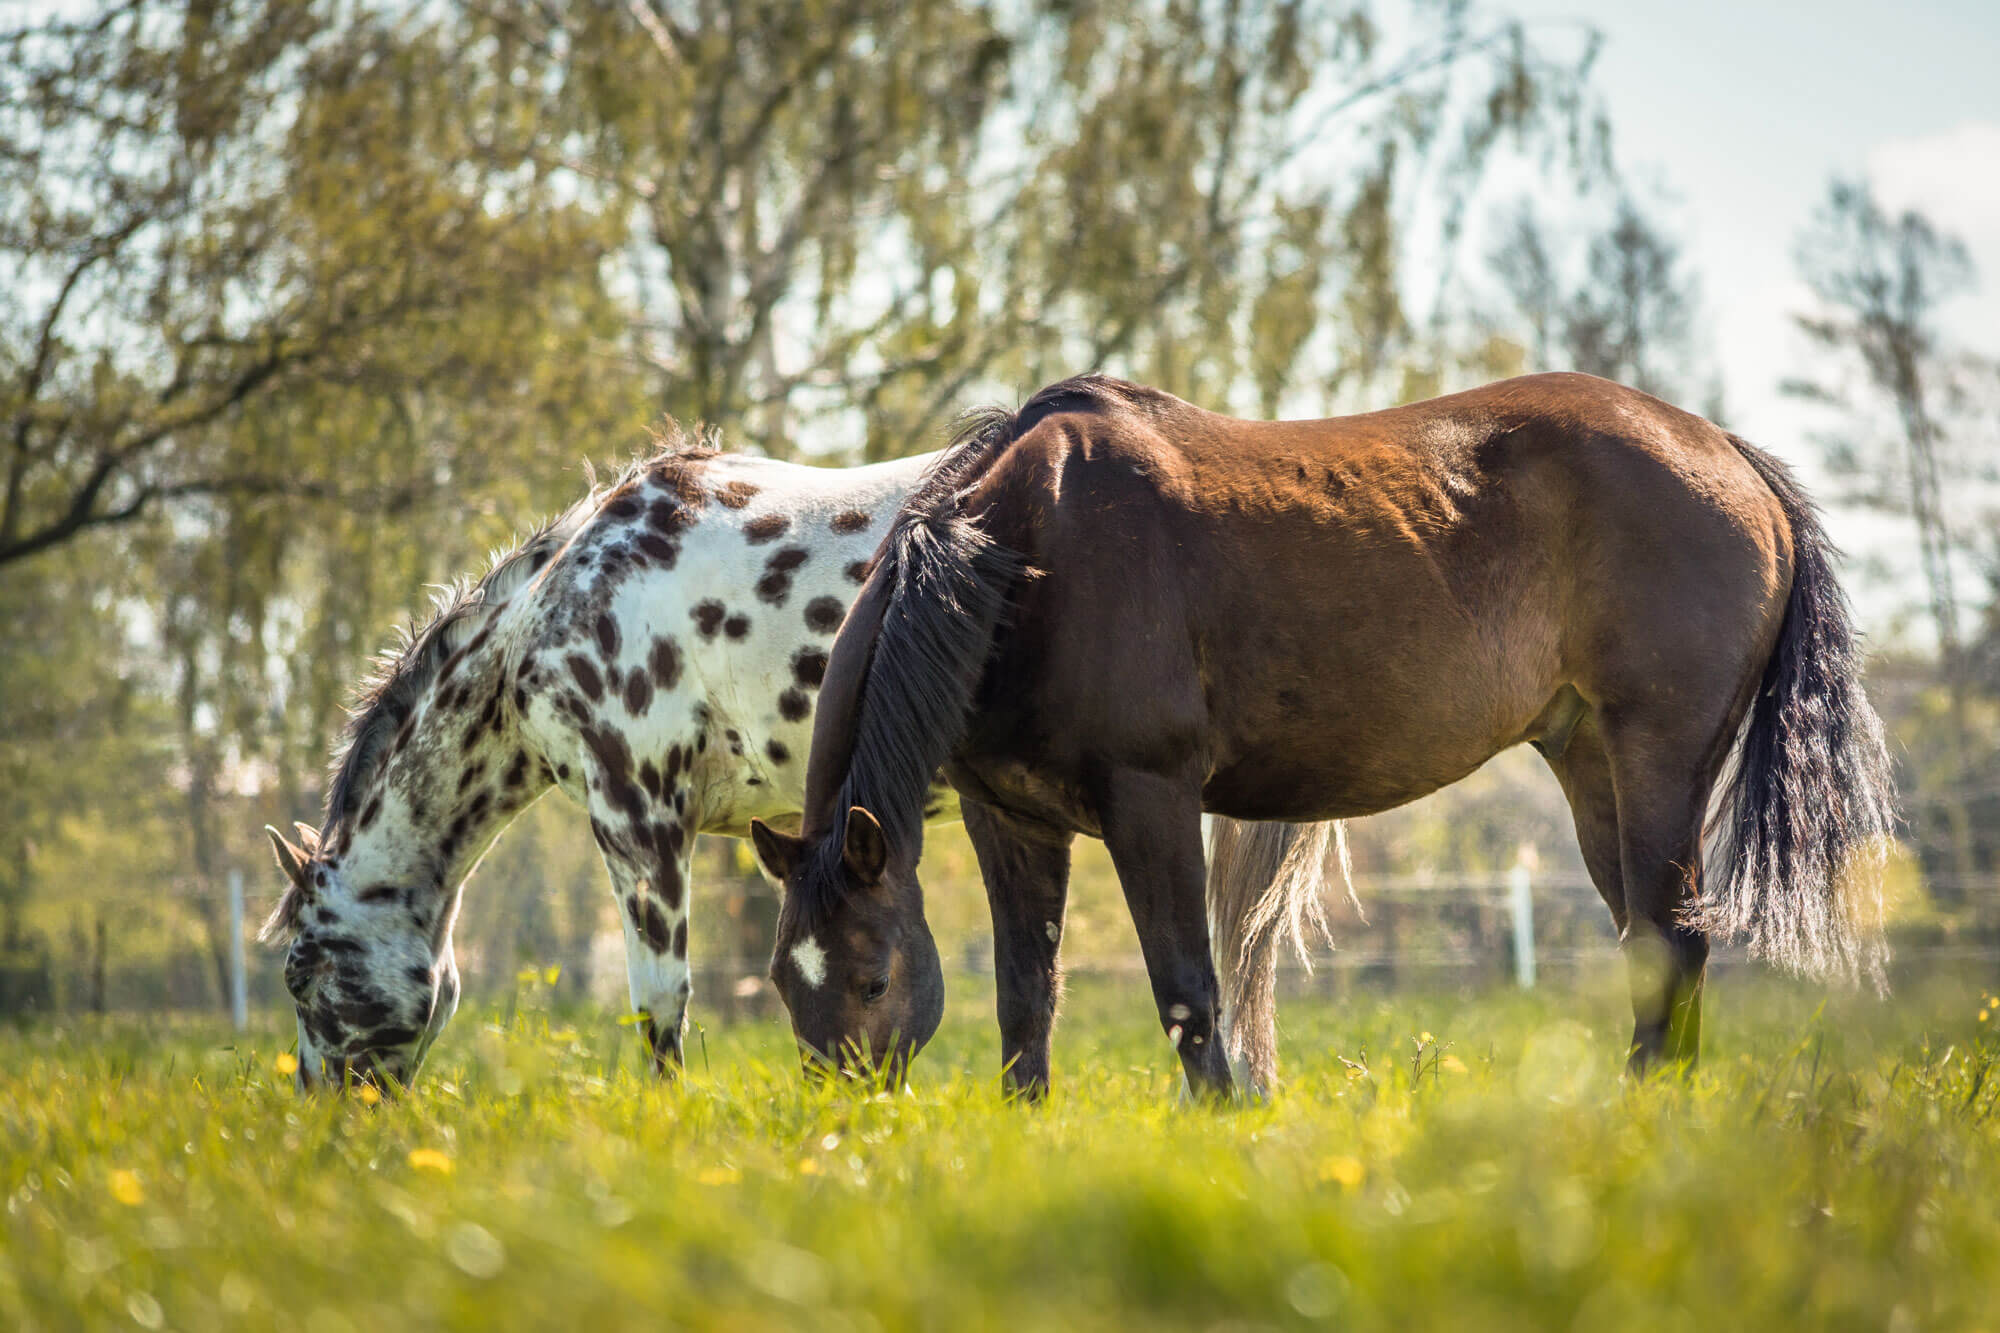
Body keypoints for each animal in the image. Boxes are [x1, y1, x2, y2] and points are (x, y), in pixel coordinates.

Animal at [756, 366, 1896, 1088]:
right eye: (781, 983)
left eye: (870, 976)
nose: (847, 1117)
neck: (1026, 554)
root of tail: (1727, 453)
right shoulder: (1013, 822)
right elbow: (1025, 997)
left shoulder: (1150, 799)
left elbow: (1187, 990)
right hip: (1589, 765)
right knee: (1651, 945)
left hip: (1657, 756)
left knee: (1669, 936)